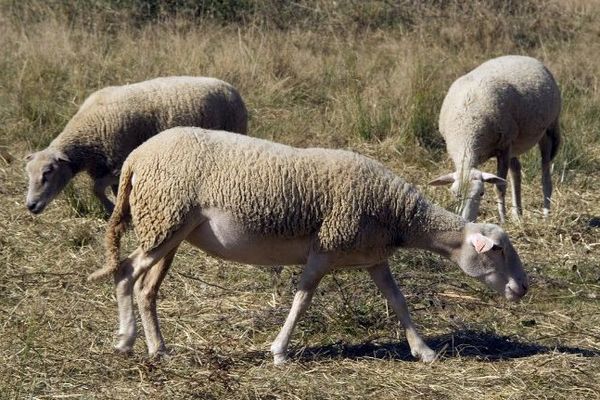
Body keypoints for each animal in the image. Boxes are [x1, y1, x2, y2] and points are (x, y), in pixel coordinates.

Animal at [24, 74, 247, 214]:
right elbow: (110, 191)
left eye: (48, 172)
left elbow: (96, 188)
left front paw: (111, 209)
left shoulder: (120, 163)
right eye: (28, 174)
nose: (30, 206)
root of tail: (231, 88)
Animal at [86, 126, 528, 364]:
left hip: (169, 229)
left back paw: (152, 347)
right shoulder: (326, 248)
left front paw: (424, 350)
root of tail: (136, 158)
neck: (398, 214)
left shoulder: (372, 257)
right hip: (164, 220)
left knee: (146, 288)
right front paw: (279, 351)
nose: (522, 288)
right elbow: (302, 299)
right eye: (499, 249)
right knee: (126, 272)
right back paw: (129, 341)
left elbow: (398, 300)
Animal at [428, 54, 560, 222]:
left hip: (548, 130)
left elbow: (500, 187)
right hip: (514, 143)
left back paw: (545, 214)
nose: (467, 220)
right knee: (516, 171)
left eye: (481, 193)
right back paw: (517, 214)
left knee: (545, 174)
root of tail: (522, 56)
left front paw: (502, 219)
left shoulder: (503, 147)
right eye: (455, 194)